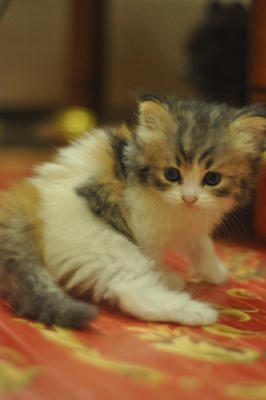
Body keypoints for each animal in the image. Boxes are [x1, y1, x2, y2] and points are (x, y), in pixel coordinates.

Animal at [0, 95, 264, 326]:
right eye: (171, 174)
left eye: (212, 179)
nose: (189, 197)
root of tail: (33, 200)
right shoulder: (144, 230)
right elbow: (156, 258)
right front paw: (168, 277)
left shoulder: (191, 223)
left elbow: (201, 243)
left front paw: (214, 272)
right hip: (109, 246)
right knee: (131, 291)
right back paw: (197, 312)